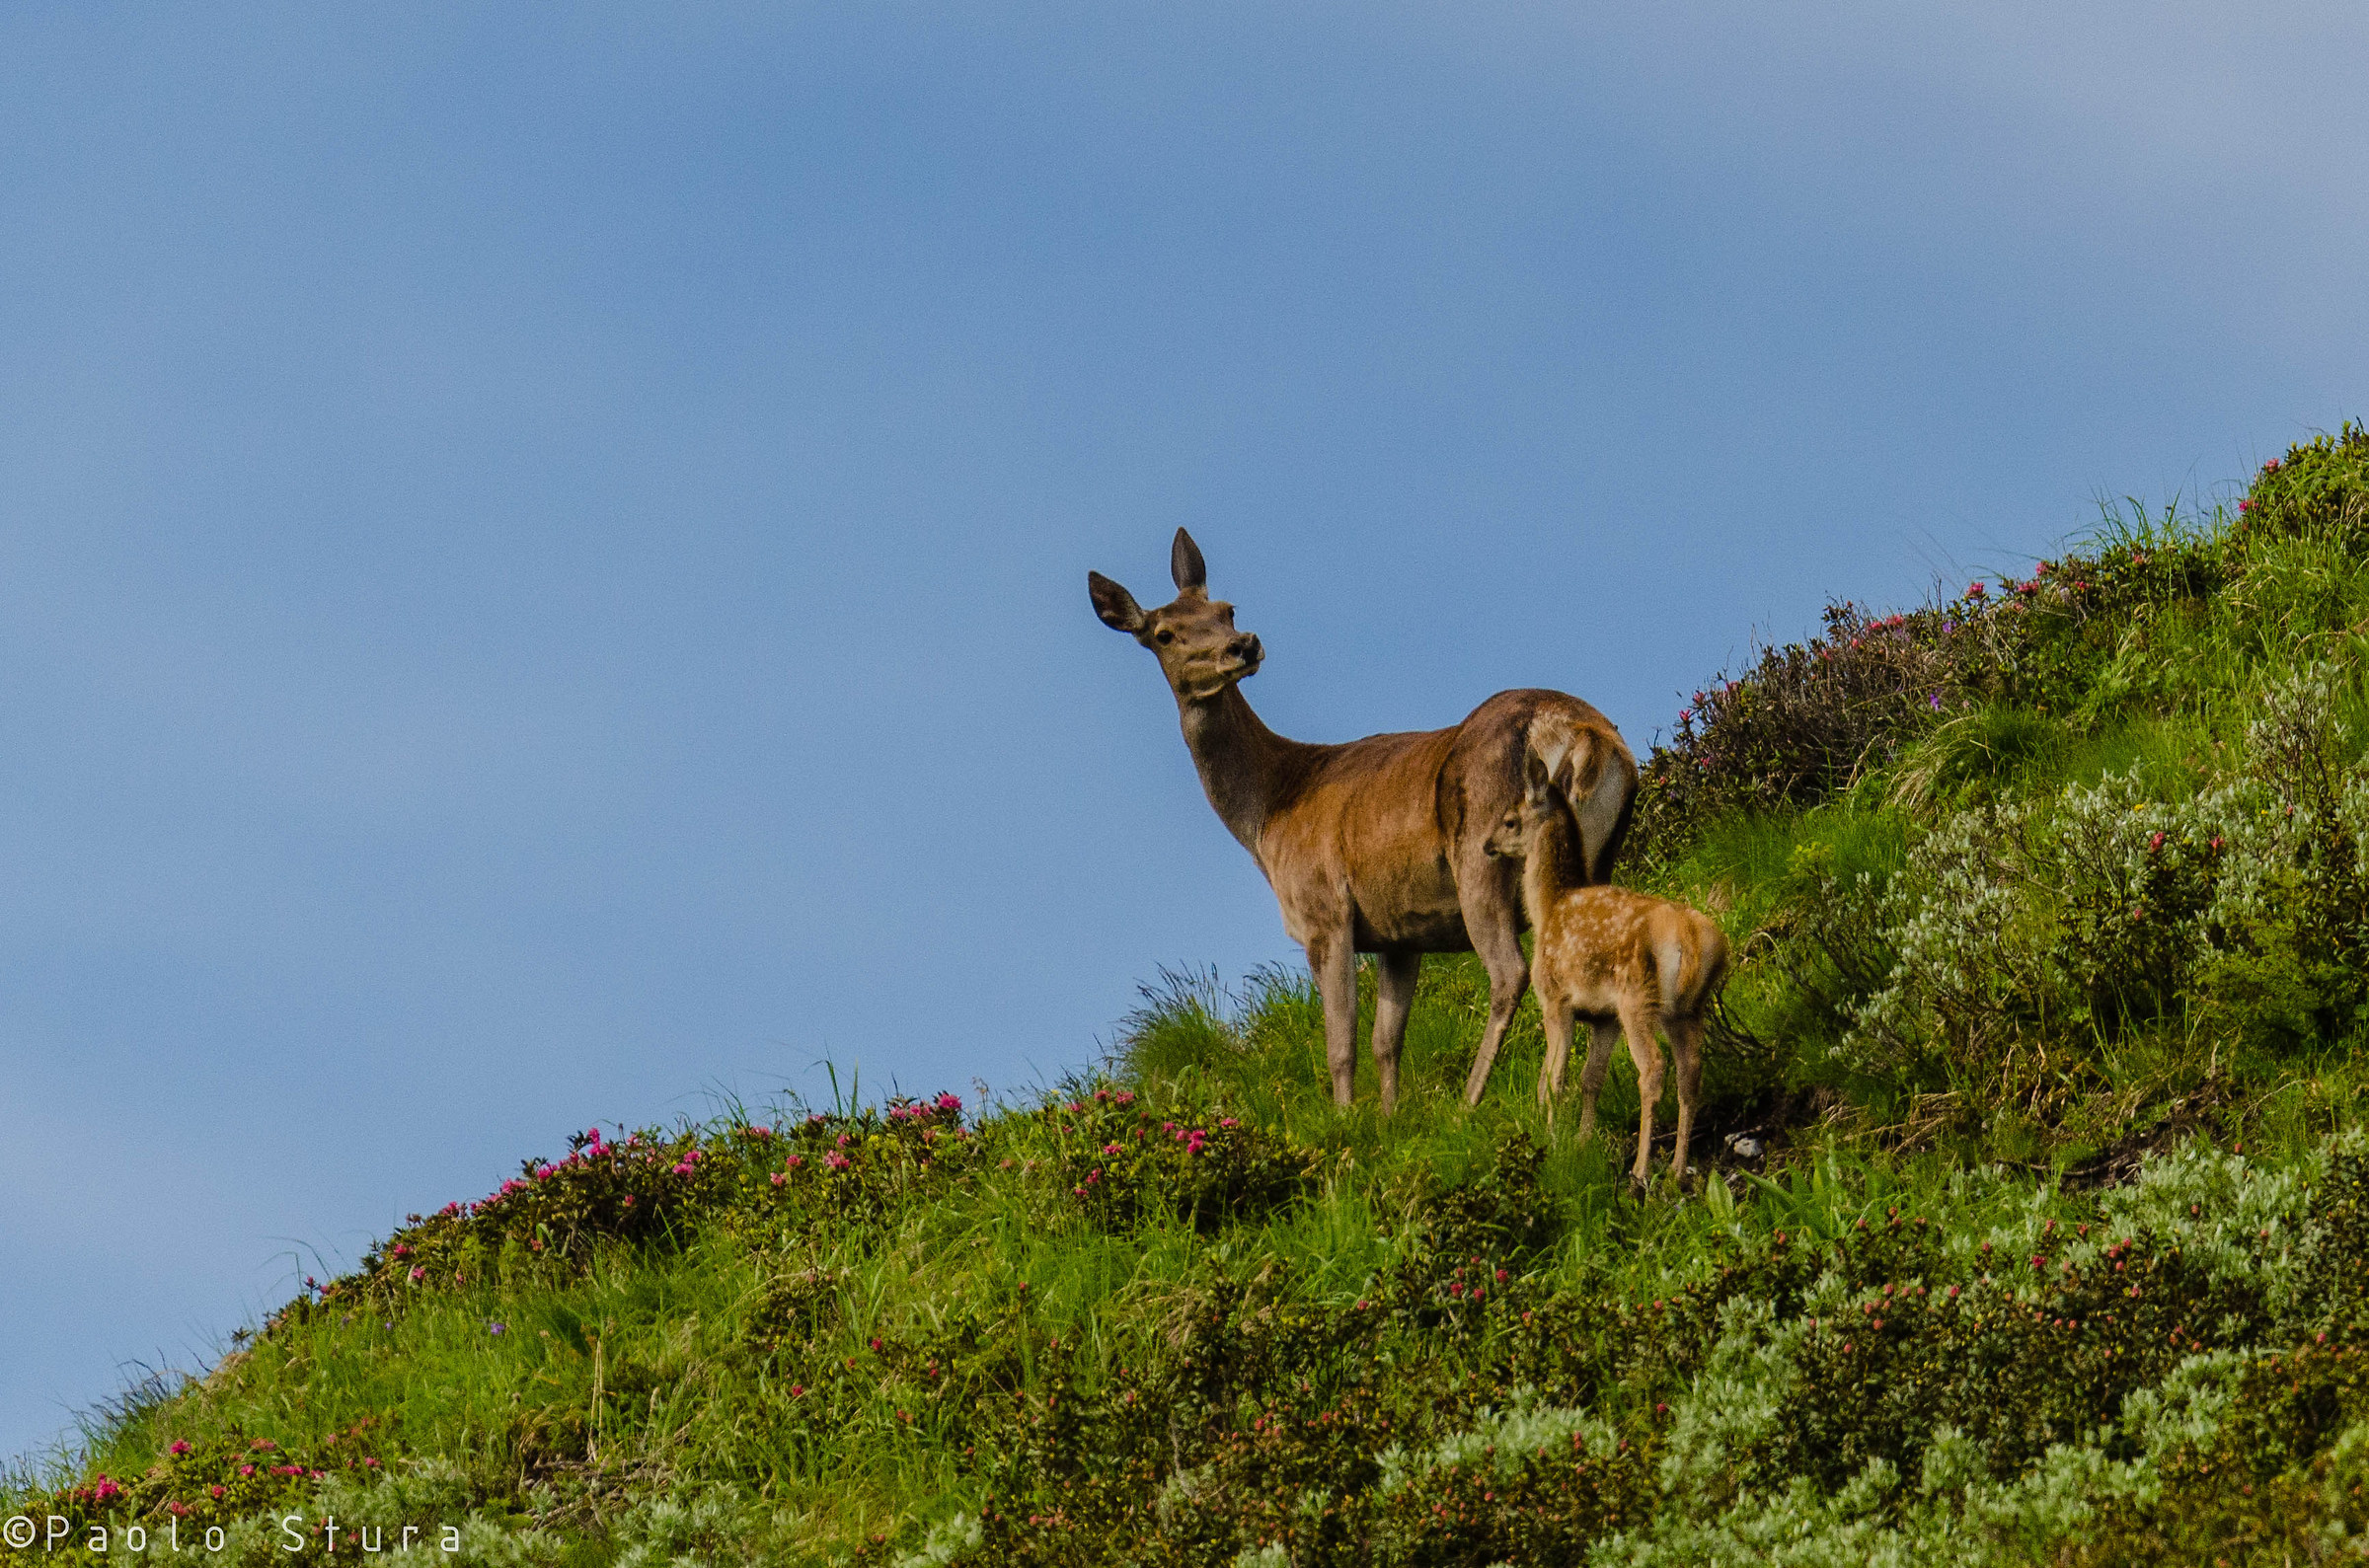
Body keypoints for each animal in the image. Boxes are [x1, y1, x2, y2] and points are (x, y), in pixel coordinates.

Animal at [1088, 528, 1636, 1113]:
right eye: (1165, 633)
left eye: (1227, 609)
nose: (1243, 645)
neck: (1270, 811)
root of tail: (1584, 737)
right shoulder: (1402, 929)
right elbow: (1385, 1041)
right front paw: (1390, 1119)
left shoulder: (1323, 909)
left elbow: (1341, 1043)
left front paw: (1346, 1118)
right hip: (1596, 862)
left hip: (1484, 852)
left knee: (1510, 973)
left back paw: (1472, 1104)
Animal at [1483, 754, 1729, 1184]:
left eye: (1510, 820)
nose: (1487, 844)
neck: (1549, 906)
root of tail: (1693, 937)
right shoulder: (1604, 1017)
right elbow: (1590, 1079)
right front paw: (1583, 1142)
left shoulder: (1555, 999)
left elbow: (1552, 1079)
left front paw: (1555, 1142)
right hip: (1685, 1010)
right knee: (1690, 1071)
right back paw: (1677, 1168)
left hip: (1638, 998)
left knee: (1653, 1068)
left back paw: (1640, 1171)